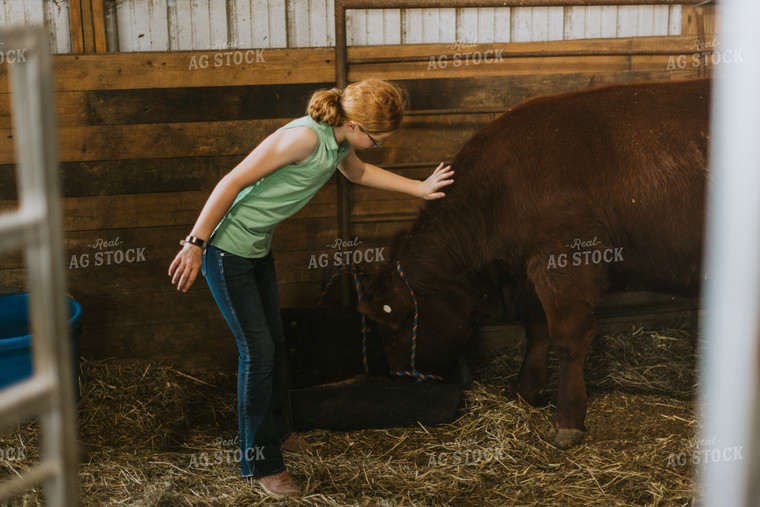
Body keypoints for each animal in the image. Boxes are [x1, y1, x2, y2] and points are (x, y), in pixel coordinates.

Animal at [360, 79, 708, 448]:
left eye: (393, 335)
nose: (402, 380)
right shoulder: (531, 274)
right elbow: (536, 328)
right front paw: (525, 389)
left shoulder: (566, 262)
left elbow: (566, 341)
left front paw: (567, 419)